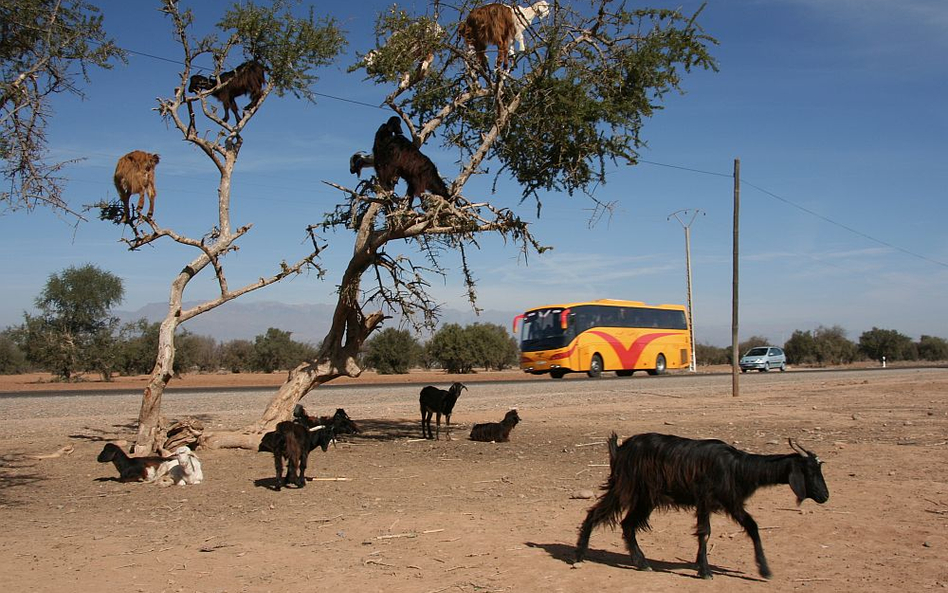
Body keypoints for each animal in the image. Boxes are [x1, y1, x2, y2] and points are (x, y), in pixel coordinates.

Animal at [572, 430, 828, 580]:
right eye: (810, 471)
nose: (825, 495)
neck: (737, 467)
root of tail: (620, 449)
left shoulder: (731, 502)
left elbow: (752, 527)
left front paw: (764, 569)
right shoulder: (705, 499)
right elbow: (705, 531)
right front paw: (704, 570)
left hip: (646, 497)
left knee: (627, 524)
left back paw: (642, 562)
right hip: (626, 488)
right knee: (596, 513)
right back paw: (578, 555)